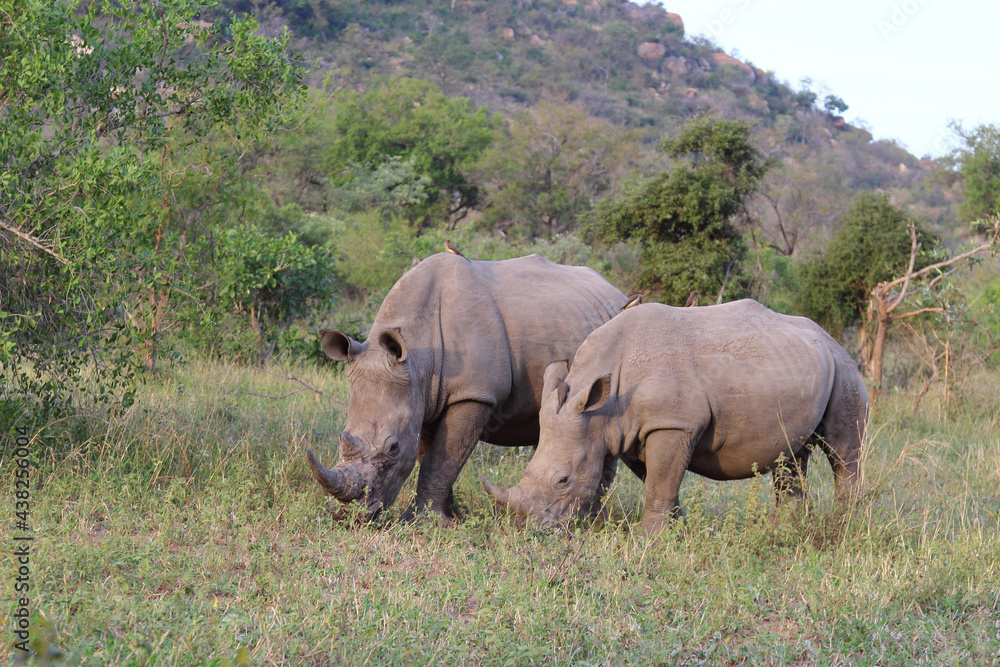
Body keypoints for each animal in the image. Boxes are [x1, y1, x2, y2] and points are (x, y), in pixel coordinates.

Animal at [307, 252, 627, 521]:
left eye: (393, 448)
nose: (353, 516)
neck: (417, 358)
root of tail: (615, 290)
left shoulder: (473, 394)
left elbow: (443, 457)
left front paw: (426, 522)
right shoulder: (425, 396)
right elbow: (430, 456)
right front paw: (452, 517)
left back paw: (591, 520)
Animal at [483, 300, 868, 533]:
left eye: (562, 480)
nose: (530, 528)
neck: (602, 406)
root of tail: (830, 338)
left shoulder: (671, 423)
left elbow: (660, 482)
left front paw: (648, 538)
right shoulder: (628, 430)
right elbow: (656, 480)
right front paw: (675, 530)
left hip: (845, 369)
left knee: (842, 452)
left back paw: (842, 526)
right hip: (800, 369)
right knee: (791, 456)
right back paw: (786, 528)